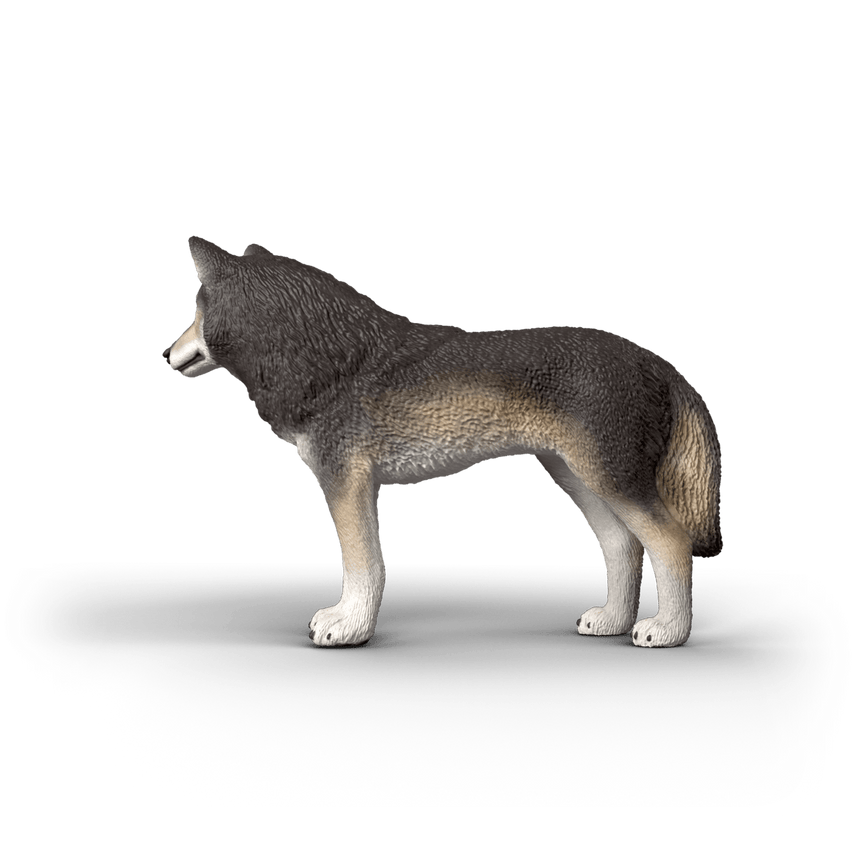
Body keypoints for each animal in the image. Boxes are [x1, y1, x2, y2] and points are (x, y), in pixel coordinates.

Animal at [162, 236, 723, 648]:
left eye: (194, 310)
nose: (165, 352)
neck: (332, 361)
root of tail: (656, 361)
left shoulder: (346, 484)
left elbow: (362, 566)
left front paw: (349, 626)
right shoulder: (361, 487)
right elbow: (369, 564)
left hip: (609, 482)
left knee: (671, 545)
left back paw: (667, 631)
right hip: (579, 479)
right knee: (623, 546)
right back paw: (611, 621)